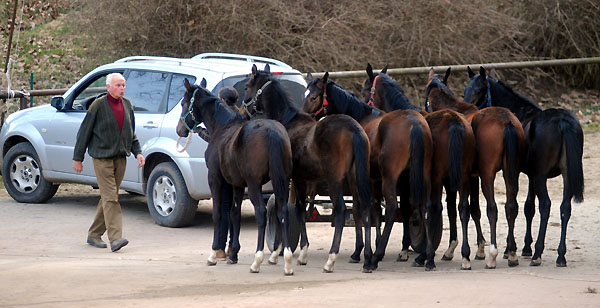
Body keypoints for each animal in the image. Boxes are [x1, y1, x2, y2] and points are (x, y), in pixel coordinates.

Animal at [175, 78, 294, 276]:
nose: (179, 130)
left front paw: (213, 255)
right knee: (282, 211)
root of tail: (272, 132)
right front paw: (233, 254)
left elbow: (218, 214)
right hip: (281, 182)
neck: (222, 128)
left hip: (255, 185)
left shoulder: (215, 179)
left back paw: (257, 261)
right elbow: (234, 213)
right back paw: (287, 261)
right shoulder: (237, 184)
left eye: (184, 103)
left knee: (261, 212)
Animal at [241, 64, 372, 272]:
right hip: (356, 179)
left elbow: (290, 210)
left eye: (247, 86)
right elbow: (301, 210)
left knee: (341, 210)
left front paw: (282, 252)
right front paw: (300, 252)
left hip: (335, 180)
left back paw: (331, 259)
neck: (288, 121)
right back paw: (367, 258)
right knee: (363, 209)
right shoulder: (302, 179)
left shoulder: (292, 179)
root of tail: (354, 128)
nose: (242, 110)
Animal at [304, 72, 436, 270]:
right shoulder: (378, 181)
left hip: (390, 178)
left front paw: (360, 251)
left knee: (392, 209)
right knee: (424, 206)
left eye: (313, 97)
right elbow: (376, 211)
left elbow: (360, 208)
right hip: (421, 175)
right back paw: (426, 258)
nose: (303, 115)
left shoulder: (359, 178)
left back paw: (376, 258)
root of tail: (414, 123)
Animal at [422, 66, 524, 268]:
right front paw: (479, 249)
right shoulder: (471, 177)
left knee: (492, 208)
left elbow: (460, 208)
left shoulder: (460, 178)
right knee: (511, 206)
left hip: (487, 175)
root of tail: (506, 120)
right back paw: (511, 252)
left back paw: (492, 255)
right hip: (511, 173)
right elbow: (474, 208)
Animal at [462, 67, 584, 268]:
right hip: (565, 175)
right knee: (565, 207)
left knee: (546, 205)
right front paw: (525, 247)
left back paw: (538, 254)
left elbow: (522, 206)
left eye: (480, 91)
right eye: (466, 89)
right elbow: (528, 208)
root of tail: (563, 120)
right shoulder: (531, 176)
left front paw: (512, 249)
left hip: (541, 177)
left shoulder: (526, 174)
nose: (466, 111)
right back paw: (560, 255)